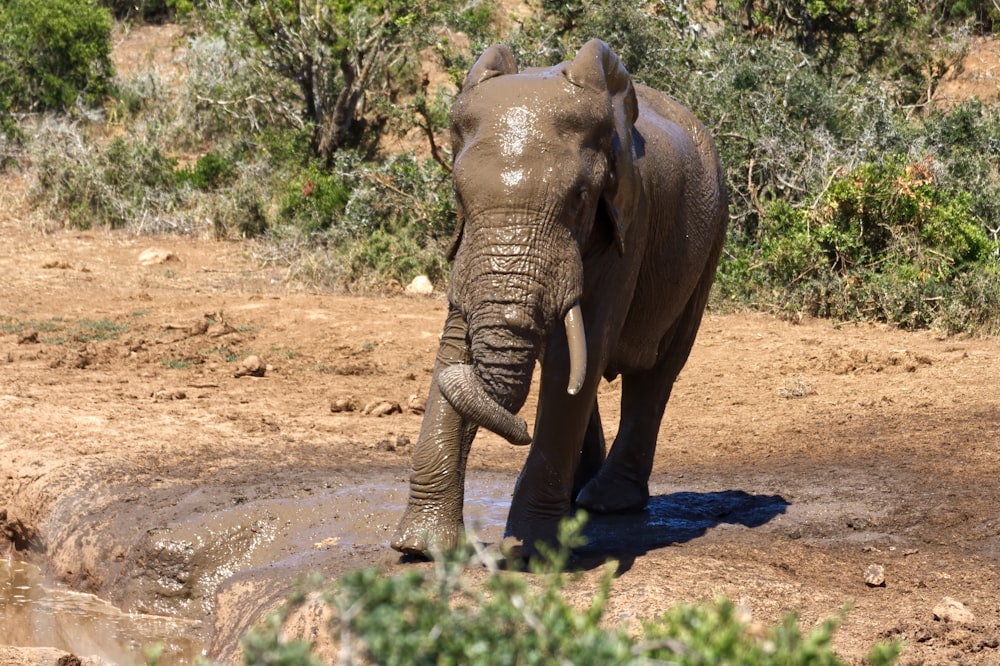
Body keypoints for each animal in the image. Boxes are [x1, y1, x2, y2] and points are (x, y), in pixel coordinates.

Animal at [390, 39, 728, 556]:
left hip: (711, 239)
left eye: (579, 198)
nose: (521, 433)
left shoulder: (629, 218)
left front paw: (531, 553)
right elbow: (455, 344)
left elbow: (579, 353)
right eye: (459, 197)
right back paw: (576, 497)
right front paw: (422, 547)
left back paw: (605, 501)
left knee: (657, 372)